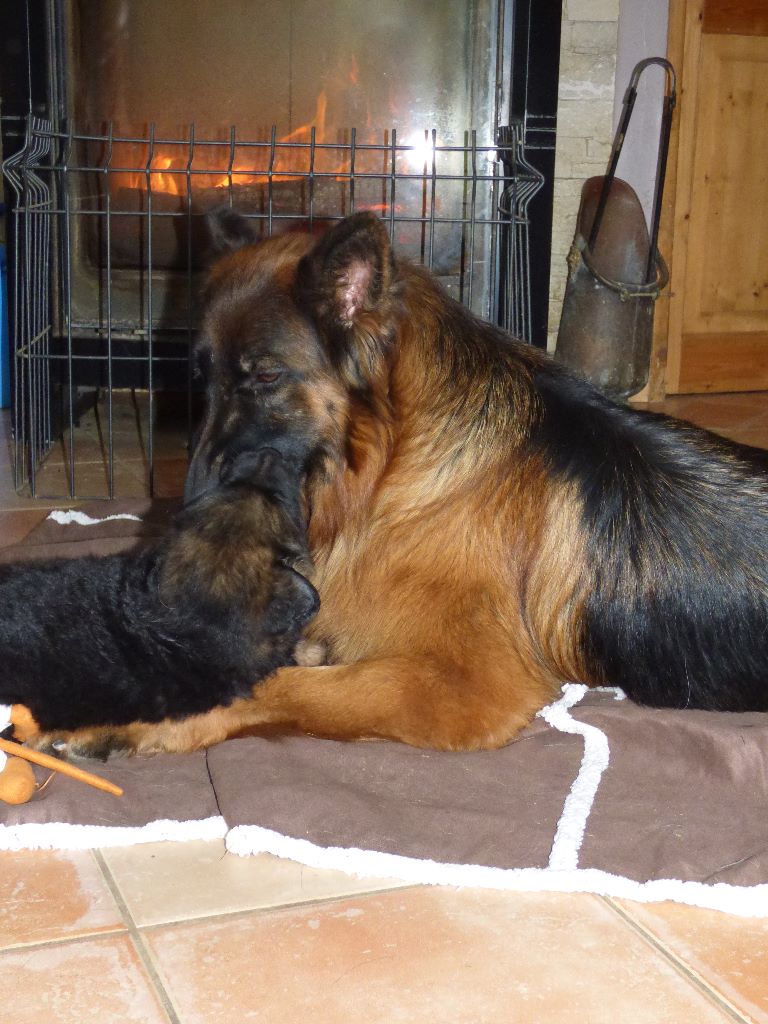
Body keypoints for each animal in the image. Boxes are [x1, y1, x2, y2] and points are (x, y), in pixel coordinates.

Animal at [40, 209, 768, 761]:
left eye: (266, 377)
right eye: (201, 378)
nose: (182, 513)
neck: (393, 473)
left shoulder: (465, 686)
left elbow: (280, 687)